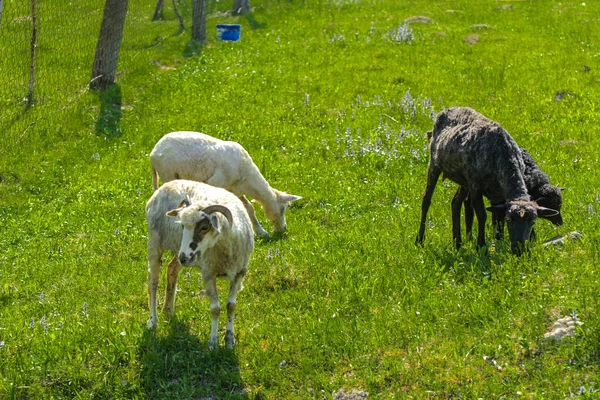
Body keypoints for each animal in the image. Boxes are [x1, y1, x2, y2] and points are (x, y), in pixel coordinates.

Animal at [148, 131, 302, 238]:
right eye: (283, 209)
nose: (283, 229)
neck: (248, 179)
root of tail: (153, 152)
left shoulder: (235, 189)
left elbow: (249, 208)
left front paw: (261, 232)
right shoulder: (215, 183)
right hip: (167, 174)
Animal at [149, 180, 256, 348]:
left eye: (204, 227)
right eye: (182, 226)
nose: (184, 257)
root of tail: (165, 185)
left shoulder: (239, 272)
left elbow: (231, 306)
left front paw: (230, 340)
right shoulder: (208, 273)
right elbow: (215, 309)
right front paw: (213, 343)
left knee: (171, 269)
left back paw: (168, 310)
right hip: (155, 244)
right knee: (153, 283)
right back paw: (153, 321)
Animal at [414, 106, 560, 255]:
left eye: (533, 221)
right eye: (510, 219)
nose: (519, 250)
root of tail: (448, 109)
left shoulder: (499, 195)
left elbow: (498, 218)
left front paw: (498, 243)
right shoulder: (475, 186)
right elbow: (482, 215)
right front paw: (481, 246)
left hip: (463, 181)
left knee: (455, 203)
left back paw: (458, 243)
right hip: (434, 165)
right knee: (426, 199)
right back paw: (419, 240)